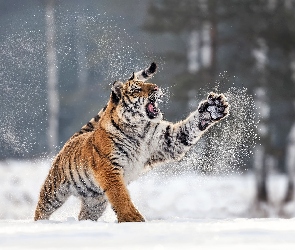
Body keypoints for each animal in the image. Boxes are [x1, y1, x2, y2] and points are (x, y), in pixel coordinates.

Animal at [34, 62, 229, 223]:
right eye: (136, 89)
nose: (156, 87)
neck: (139, 129)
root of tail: (74, 138)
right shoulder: (109, 167)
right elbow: (120, 195)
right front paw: (132, 219)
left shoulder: (168, 142)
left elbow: (189, 127)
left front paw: (213, 108)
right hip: (54, 190)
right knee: (42, 208)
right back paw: (40, 224)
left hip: (95, 201)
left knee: (84, 215)